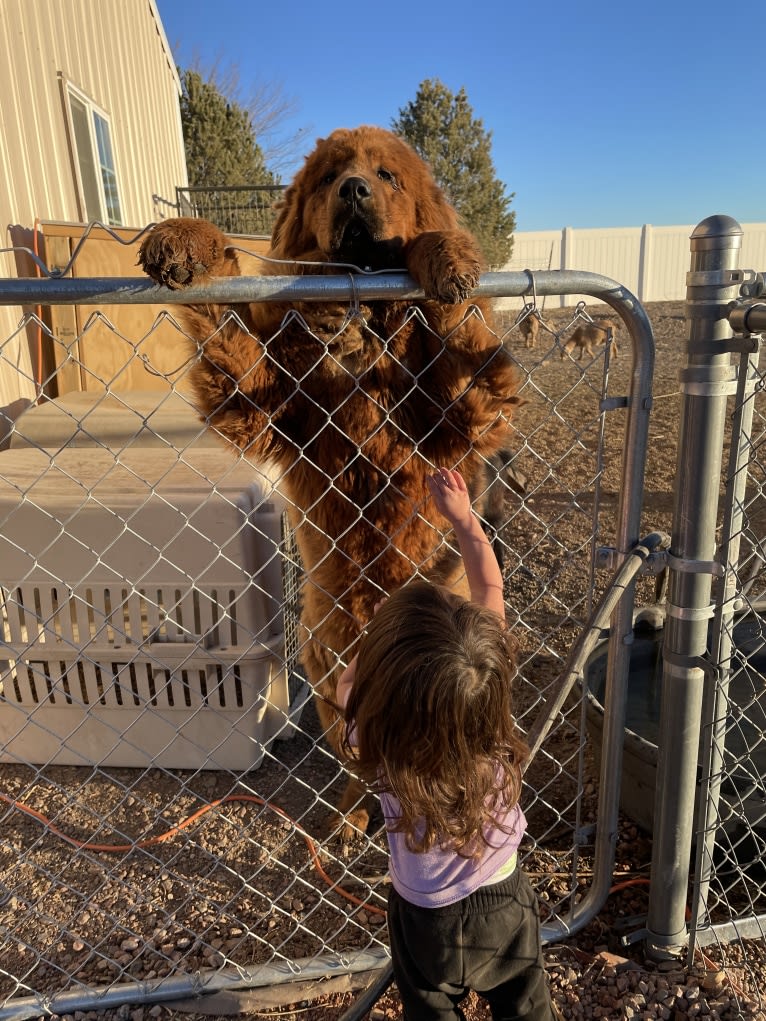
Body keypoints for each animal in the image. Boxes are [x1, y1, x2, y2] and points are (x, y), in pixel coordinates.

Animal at [137, 125, 522, 837]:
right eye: (328, 177)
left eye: (387, 175)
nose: (354, 190)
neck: (362, 322)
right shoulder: (259, 397)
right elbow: (224, 302)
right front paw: (186, 239)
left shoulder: (465, 413)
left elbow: (457, 319)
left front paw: (446, 257)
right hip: (329, 671)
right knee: (360, 767)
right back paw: (350, 815)